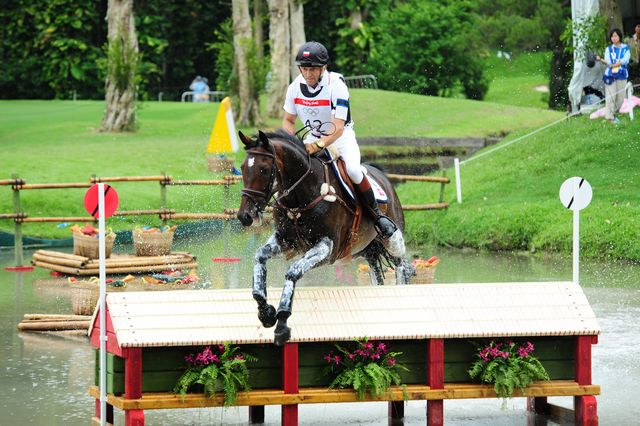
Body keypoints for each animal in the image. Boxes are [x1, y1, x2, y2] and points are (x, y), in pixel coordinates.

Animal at [236, 130, 414, 346]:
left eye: (263, 170)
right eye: (243, 168)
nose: (245, 216)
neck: (302, 194)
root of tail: (384, 178)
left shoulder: (327, 248)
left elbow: (293, 271)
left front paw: (282, 323)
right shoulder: (287, 242)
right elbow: (260, 256)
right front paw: (265, 311)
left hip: (392, 238)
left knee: (402, 266)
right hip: (367, 248)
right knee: (376, 272)